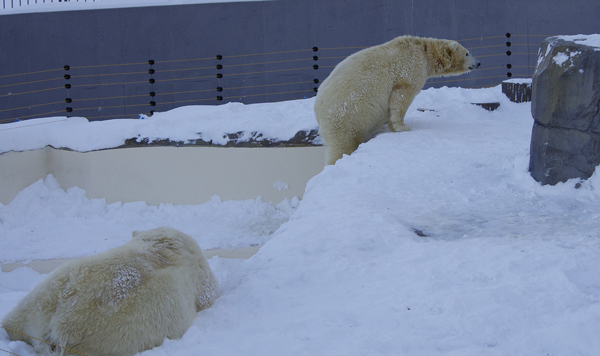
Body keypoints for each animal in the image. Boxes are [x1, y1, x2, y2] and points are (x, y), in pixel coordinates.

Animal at [1, 228, 219, 356]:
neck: (163, 242)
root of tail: (59, 328)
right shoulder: (200, 272)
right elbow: (209, 293)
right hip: (110, 339)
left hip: (51, 289)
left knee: (17, 320)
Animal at [316, 35, 480, 164]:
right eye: (467, 53)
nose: (478, 63)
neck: (424, 51)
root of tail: (318, 111)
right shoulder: (409, 68)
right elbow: (401, 96)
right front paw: (402, 127)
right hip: (346, 117)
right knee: (344, 145)